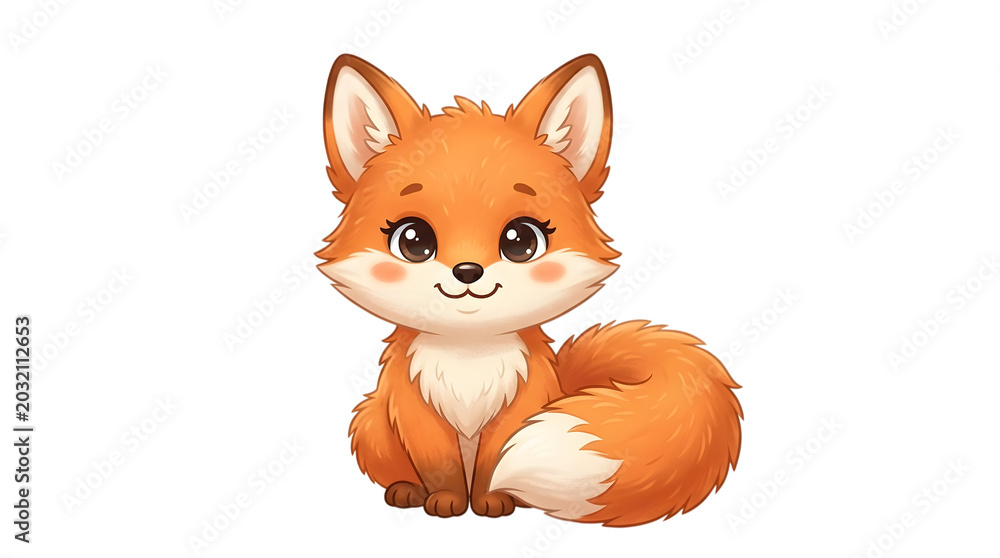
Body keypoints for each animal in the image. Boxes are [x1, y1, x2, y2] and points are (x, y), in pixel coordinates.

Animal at [316, 53, 743, 526]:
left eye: (521, 240)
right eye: (413, 240)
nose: (468, 271)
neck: (470, 360)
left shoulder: (524, 403)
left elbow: (492, 463)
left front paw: (490, 500)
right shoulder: (413, 408)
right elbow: (440, 465)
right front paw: (446, 499)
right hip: (371, 422)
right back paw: (407, 490)